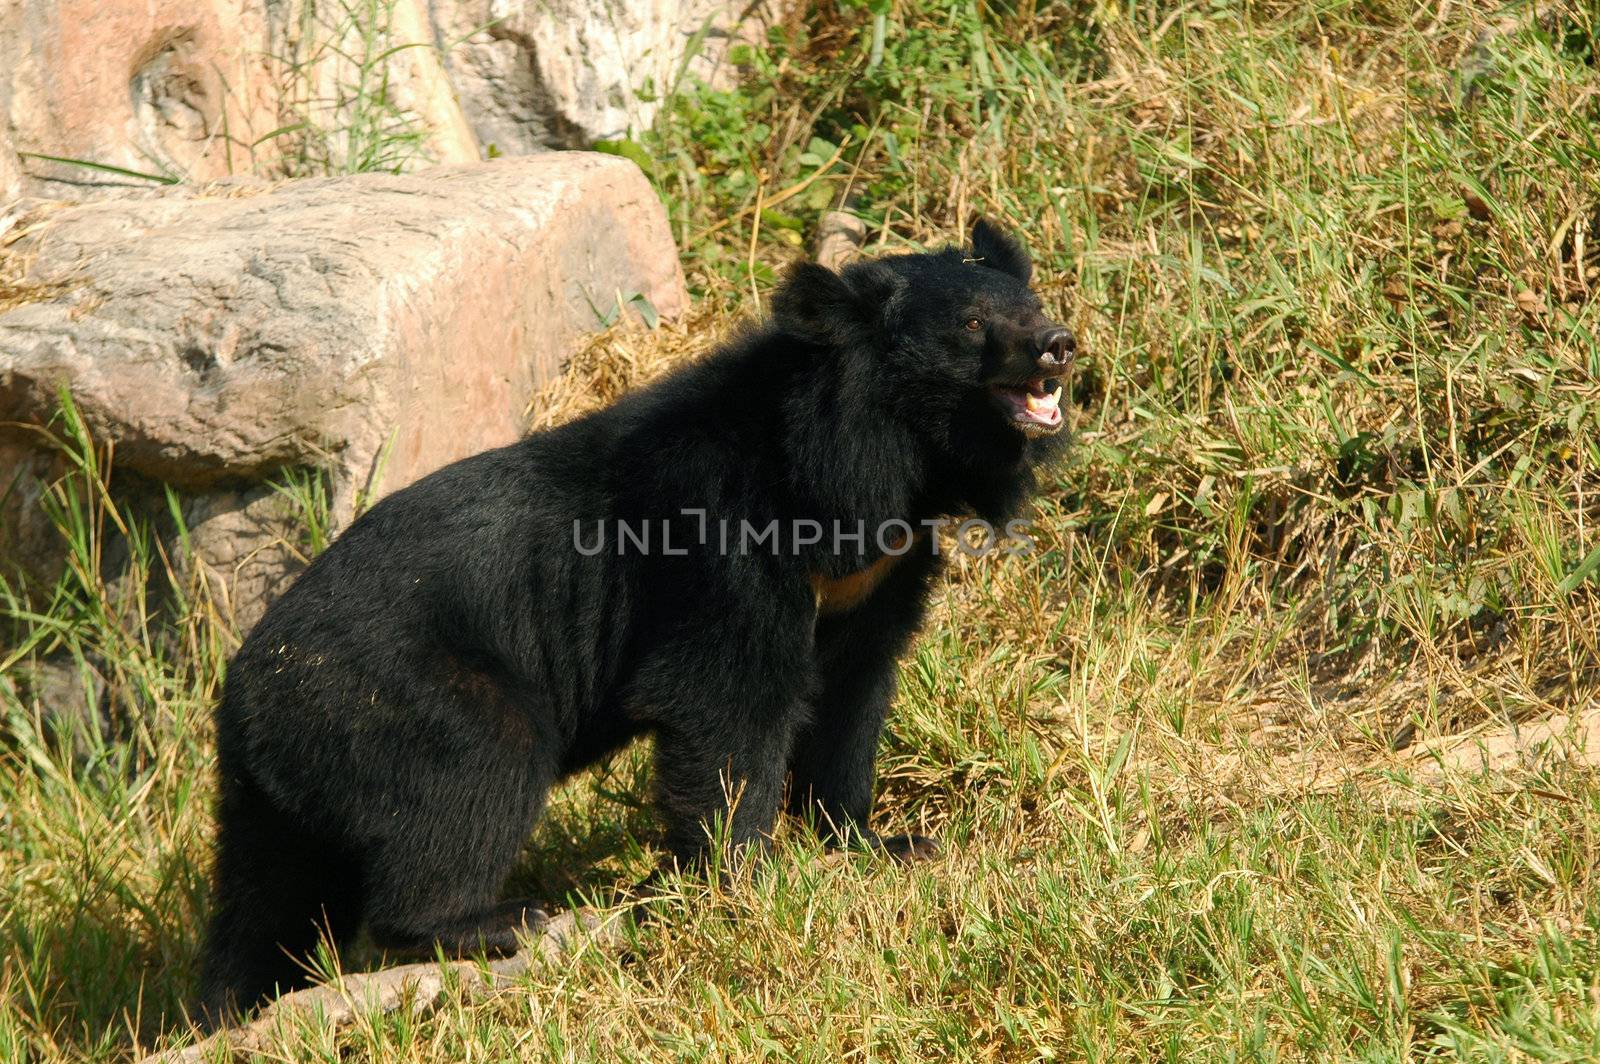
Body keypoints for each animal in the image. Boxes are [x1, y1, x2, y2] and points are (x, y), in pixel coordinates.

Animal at [196, 217, 1075, 1024]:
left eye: (1031, 304)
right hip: (408, 698)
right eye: (972, 325)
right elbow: (727, 702)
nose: (1058, 345)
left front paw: (877, 842)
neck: (869, 467)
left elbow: (852, 692)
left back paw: (236, 1003)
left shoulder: (878, 574)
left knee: (266, 897)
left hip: (284, 793)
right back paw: (491, 921)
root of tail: (244, 700)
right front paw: (740, 882)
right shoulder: (724, 544)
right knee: (470, 780)